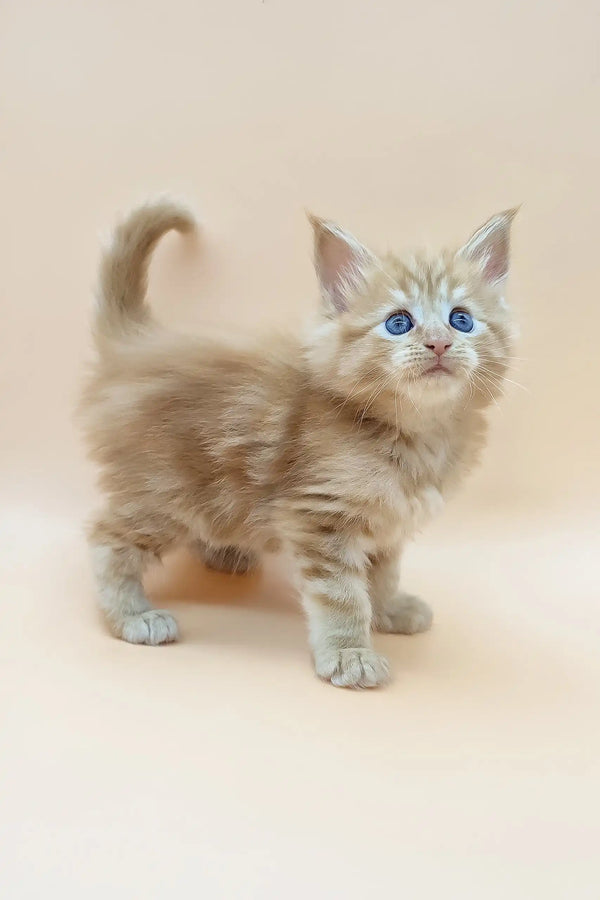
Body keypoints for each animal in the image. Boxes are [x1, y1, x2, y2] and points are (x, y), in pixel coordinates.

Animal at [78, 199, 516, 688]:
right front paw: (350, 654)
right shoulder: (320, 516)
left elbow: (382, 574)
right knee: (107, 537)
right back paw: (133, 615)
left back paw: (224, 553)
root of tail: (135, 345)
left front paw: (389, 610)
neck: (416, 432)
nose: (439, 343)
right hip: (162, 489)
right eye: (398, 323)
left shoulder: (386, 520)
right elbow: (343, 596)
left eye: (461, 319)